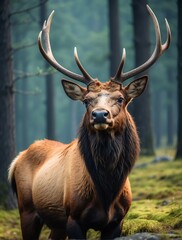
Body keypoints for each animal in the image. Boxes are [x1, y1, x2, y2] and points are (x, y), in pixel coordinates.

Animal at [8, 4, 171, 239]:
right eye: (86, 100)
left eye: (120, 98)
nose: (100, 115)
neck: (107, 193)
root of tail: (17, 159)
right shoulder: (74, 217)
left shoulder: (117, 222)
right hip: (27, 208)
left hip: (55, 223)